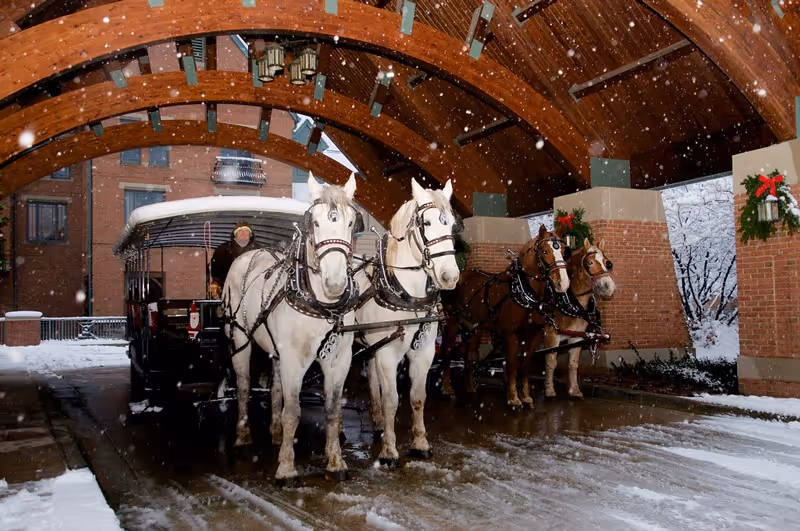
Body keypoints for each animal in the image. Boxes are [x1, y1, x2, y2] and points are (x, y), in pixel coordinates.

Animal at [222, 172, 364, 487]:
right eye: (315, 223)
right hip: (240, 338)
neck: (322, 305)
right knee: (243, 385)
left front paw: (336, 463)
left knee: (275, 387)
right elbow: (293, 412)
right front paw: (286, 469)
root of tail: (249, 253)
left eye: (351, 222)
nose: (334, 283)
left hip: (277, 351)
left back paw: (275, 432)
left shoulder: (339, 360)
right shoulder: (294, 358)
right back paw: (242, 435)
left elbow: (332, 410)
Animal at [354, 178, 462, 468]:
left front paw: (420, 443)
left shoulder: (423, 352)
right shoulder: (388, 353)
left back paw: (378, 421)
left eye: (453, 225)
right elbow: (392, 399)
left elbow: (417, 398)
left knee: (373, 379)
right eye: (427, 223)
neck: (408, 296)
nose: (449, 276)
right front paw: (390, 451)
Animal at [438, 224, 570, 408]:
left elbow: (525, 365)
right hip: (452, 323)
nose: (562, 283)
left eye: (564, 251)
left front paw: (526, 397)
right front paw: (514, 399)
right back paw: (447, 389)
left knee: (470, 355)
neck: (525, 291)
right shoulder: (510, 335)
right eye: (544, 251)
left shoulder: (533, 335)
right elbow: (513, 365)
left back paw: (471, 388)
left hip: (474, 328)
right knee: (447, 352)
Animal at [531, 238, 615, 400]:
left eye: (607, 263)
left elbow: (573, 363)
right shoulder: (551, 335)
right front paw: (549, 390)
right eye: (589, 263)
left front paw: (574, 390)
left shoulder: (577, 337)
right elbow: (551, 362)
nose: (609, 286)